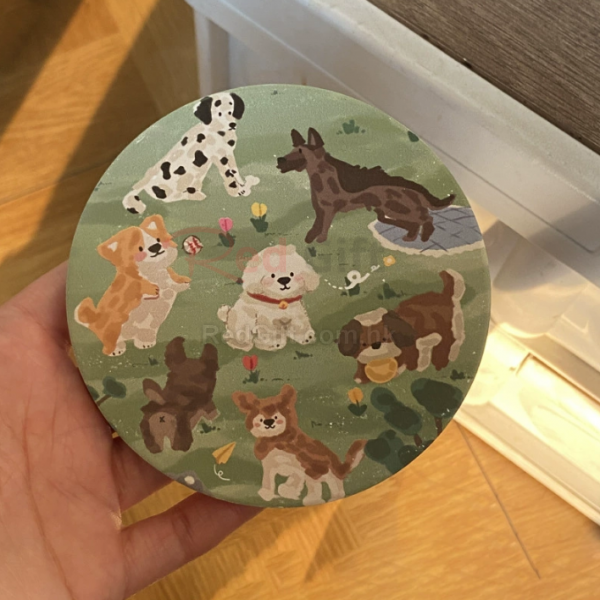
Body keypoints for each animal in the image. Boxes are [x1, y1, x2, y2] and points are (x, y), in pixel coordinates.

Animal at [74, 215, 190, 356]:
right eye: (139, 248)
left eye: (158, 239)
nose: (155, 247)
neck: (155, 272)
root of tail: (95, 320)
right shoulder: (131, 285)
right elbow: (138, 286)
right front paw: (152, 288)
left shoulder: (167, 276)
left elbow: (172, 278)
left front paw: (183, 281)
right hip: (112, 331)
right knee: (109, 343)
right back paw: (115, 350)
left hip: (147, 329)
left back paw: (145, 343)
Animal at [123, 91, 260, 214]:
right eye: (219, 113)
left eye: (231, 109)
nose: (231, 124)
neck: (217, 131)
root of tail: (144, 182)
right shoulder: (219, 157)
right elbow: (228, 175)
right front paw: (236, 191)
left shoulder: (229, 153)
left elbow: (235, 170)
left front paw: (242, 183)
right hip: (175, 187)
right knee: (173, 198)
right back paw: (195, 196)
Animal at [233, 384, 367, 505]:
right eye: (260, 419)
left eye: (276, 416)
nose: (268, 422)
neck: (276, 440)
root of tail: (336, 462)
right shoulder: (271, 466)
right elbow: (269, 480)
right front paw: (270, 493)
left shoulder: (305, 465)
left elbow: (310, 484)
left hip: (320, 470)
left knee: (330, 484)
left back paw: (321, 499)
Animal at [277, 128, 455, 244]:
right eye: (292, 150)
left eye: (300, 151)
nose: (280, 159)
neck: (320, 176)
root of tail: (416, 188)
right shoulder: (320, 211)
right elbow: (315, 226)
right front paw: (310, 238)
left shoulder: (328, 211)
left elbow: (324, 227)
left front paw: (320, 239)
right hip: (393, 209)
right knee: (417, 221)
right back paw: (411, 237)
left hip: (398, 208)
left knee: (426, 217)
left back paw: (425, 236)